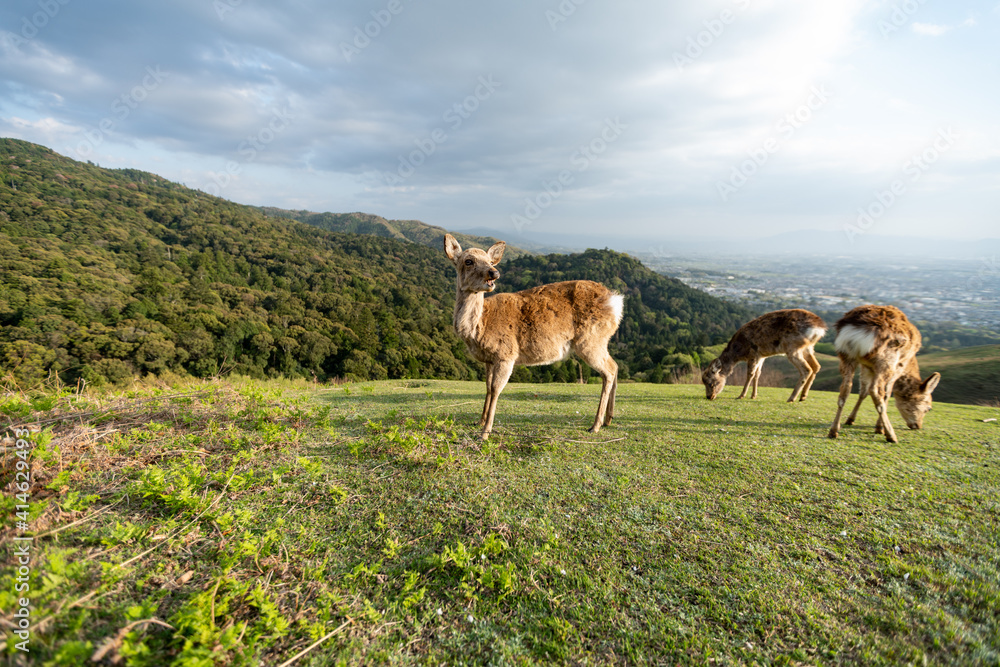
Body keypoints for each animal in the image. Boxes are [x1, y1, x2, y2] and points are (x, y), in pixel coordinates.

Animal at [443, 234, 624, 440]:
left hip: (591, 340)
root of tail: (616, 301)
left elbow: (496, 389)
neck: (480, 327)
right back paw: (609, 419)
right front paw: (479, 422)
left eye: (490, 261)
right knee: (615, 366)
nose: (493, 273)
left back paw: (595, 425)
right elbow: (487, 388)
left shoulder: (506, 354)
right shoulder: (489, 359)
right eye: (468, 261)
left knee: (608, 370)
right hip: (601, 341)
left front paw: (485, 433)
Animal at [827, 304, 941, 443]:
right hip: (886, 360)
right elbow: (887, 393)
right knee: (875, 390)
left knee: (845, 388)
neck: (910, 361)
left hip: (846, 355)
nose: (918, 426)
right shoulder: (898, 366)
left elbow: (863, 392)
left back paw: (833, 431)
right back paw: (891, 435)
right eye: (929, 408)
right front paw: (879, 428)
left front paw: (850, 420)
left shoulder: (866, 366)